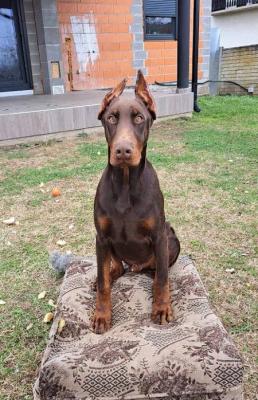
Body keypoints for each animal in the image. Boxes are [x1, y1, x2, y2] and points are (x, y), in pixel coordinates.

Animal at [92, 70, 179, 332]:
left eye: (139, 118)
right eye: (111, 118)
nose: (123, 151)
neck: (126, 184)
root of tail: (136, 265)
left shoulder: (159, 235)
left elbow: (162, 279)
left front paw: (161, 308)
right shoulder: (101, 237)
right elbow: (103, 282)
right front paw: (102, 314)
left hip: (172, 239)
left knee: (159, 272)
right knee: (117, 268)